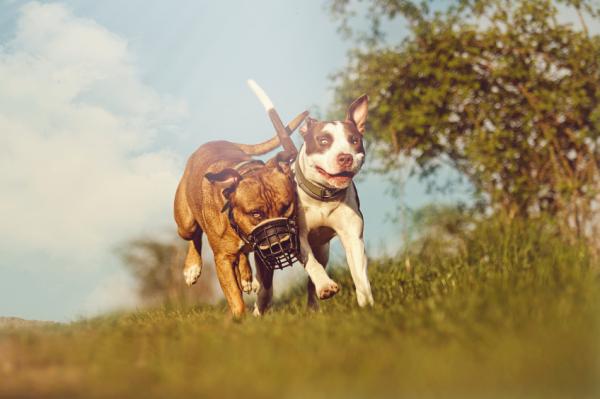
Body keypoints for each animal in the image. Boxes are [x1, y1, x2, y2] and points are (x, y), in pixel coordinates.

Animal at [173, 104, 304, 318]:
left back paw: (246, 277)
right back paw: (192, 267)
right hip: (185, 224)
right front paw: (240, 318)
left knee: (243, 255)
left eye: (286, 207)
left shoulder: (263, 252)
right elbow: (235, 296)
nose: (279, 243)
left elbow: (264, 285)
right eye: (256, 213)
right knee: (194, 235)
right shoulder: (223, 260)